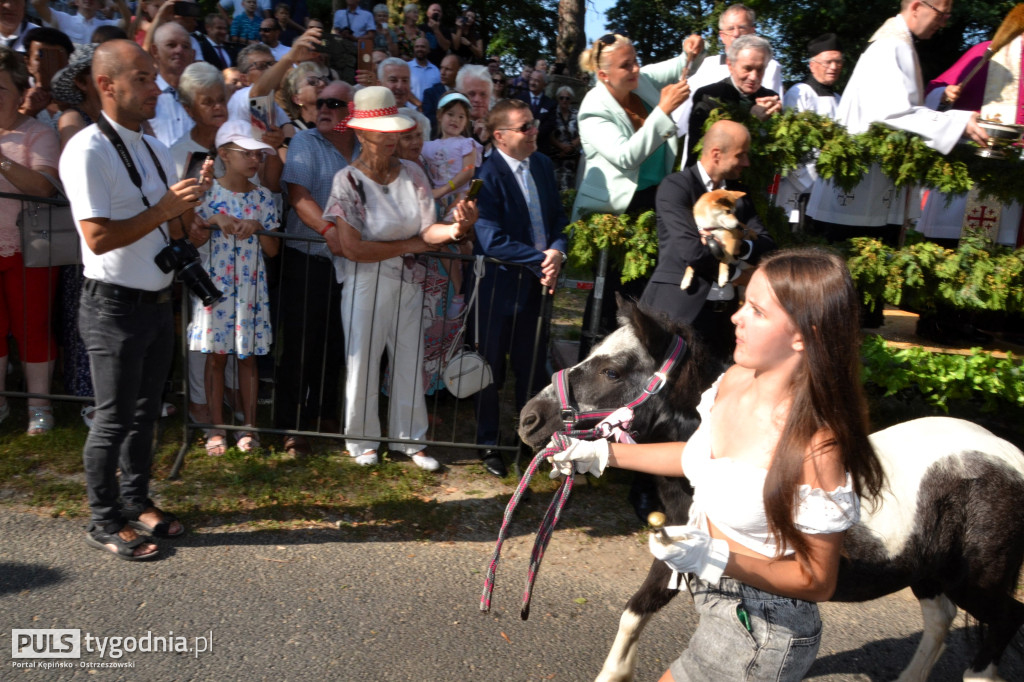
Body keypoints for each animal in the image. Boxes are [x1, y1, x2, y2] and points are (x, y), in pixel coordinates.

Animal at [520, 301, 1024, 679]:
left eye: (611, 371)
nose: (529, 419)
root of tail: (1009, 456)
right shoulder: (675, 551)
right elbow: (634, 611)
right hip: (930, 573)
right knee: (941, 621)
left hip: (976, 581)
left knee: (1001, 624)